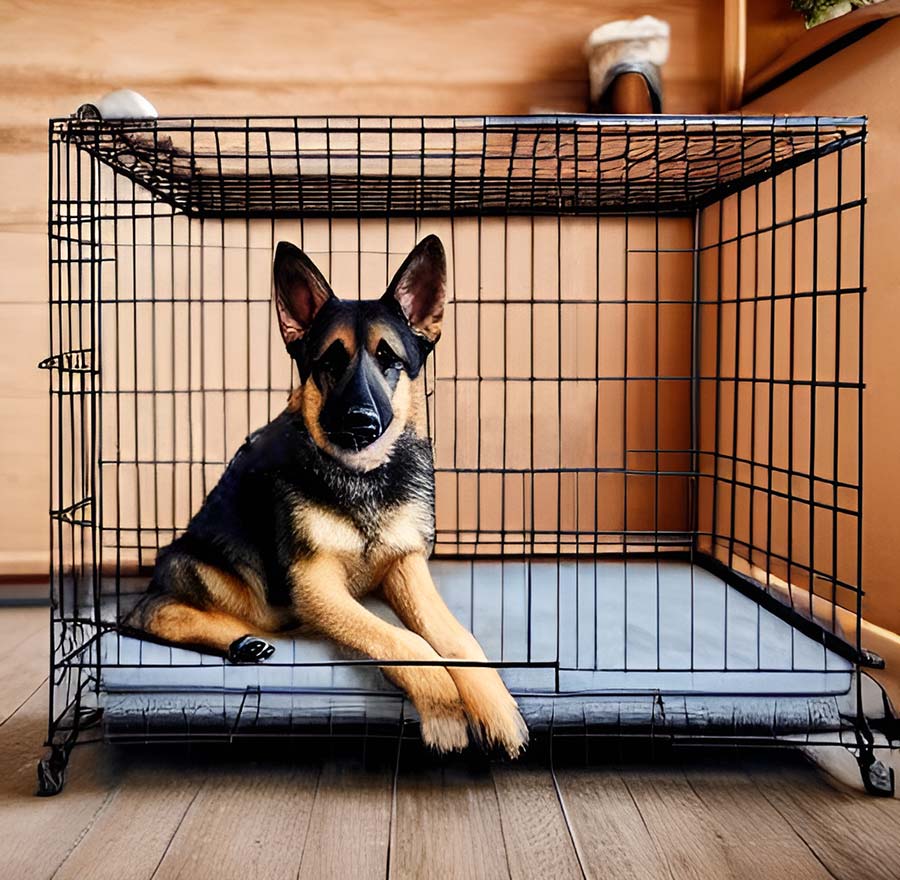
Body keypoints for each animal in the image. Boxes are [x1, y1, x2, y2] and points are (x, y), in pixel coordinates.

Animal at [121, 234, 528, 756]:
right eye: (329, 363)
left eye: (389, 360)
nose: (360, 422)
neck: (363, 480)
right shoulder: (318, 585)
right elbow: (404, 641)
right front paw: (444, 709)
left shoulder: (406, 567)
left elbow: (457, 638)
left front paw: (495, 705)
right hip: (203, 567)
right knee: (151, 612)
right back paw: (237, 639)